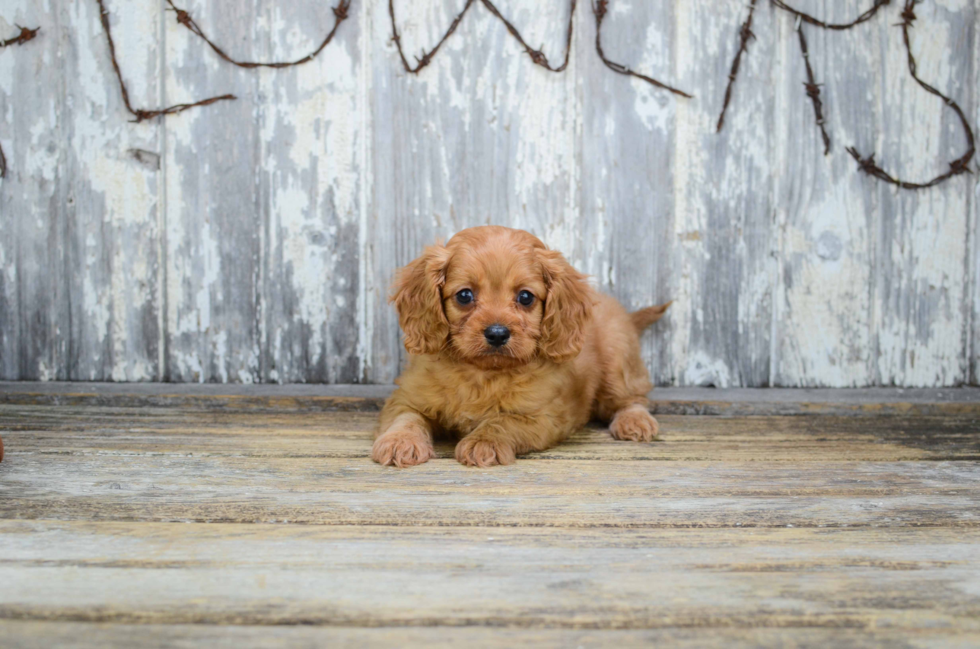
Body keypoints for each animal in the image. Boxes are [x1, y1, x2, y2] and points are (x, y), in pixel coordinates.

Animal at [372, 227, 668, 466]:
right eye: (464, 295)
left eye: (525, 297)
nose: (497, 333)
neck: (482, 374)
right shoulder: (407, 397)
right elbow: (406, 418)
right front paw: (400, 442)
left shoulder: (541, 416)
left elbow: (503, 421)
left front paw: (484, 442)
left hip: (617, 359)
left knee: (631, 398)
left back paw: (634, 421)